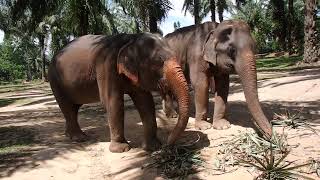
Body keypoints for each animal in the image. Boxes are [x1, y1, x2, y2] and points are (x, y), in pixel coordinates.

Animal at [48, 33, 190, 153]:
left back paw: (70, 135)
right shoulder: (106, 67)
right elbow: (113, 101)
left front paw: (153, 147)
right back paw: (80, 138)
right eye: (158, 62)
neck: (130, 39)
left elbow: (145, 101)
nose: (168, 145)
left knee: (73, 108)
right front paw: (122, 149)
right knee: (67, 107)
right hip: (55, 81)